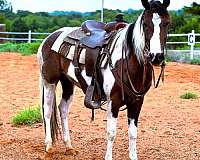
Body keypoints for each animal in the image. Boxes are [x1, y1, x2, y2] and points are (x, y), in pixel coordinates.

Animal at [36, 0, 170, 159]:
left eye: (167, 23)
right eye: (145, 24)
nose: (156, 56)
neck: (128, 61)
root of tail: (48, 38)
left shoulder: (137, 102)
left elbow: (133, 133)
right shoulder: (114, 101)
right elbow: (111, 133)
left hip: (67, 82)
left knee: (63, 109)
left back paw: (69, 146)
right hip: (49, 81)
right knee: (47, 110)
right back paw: (49, 147)